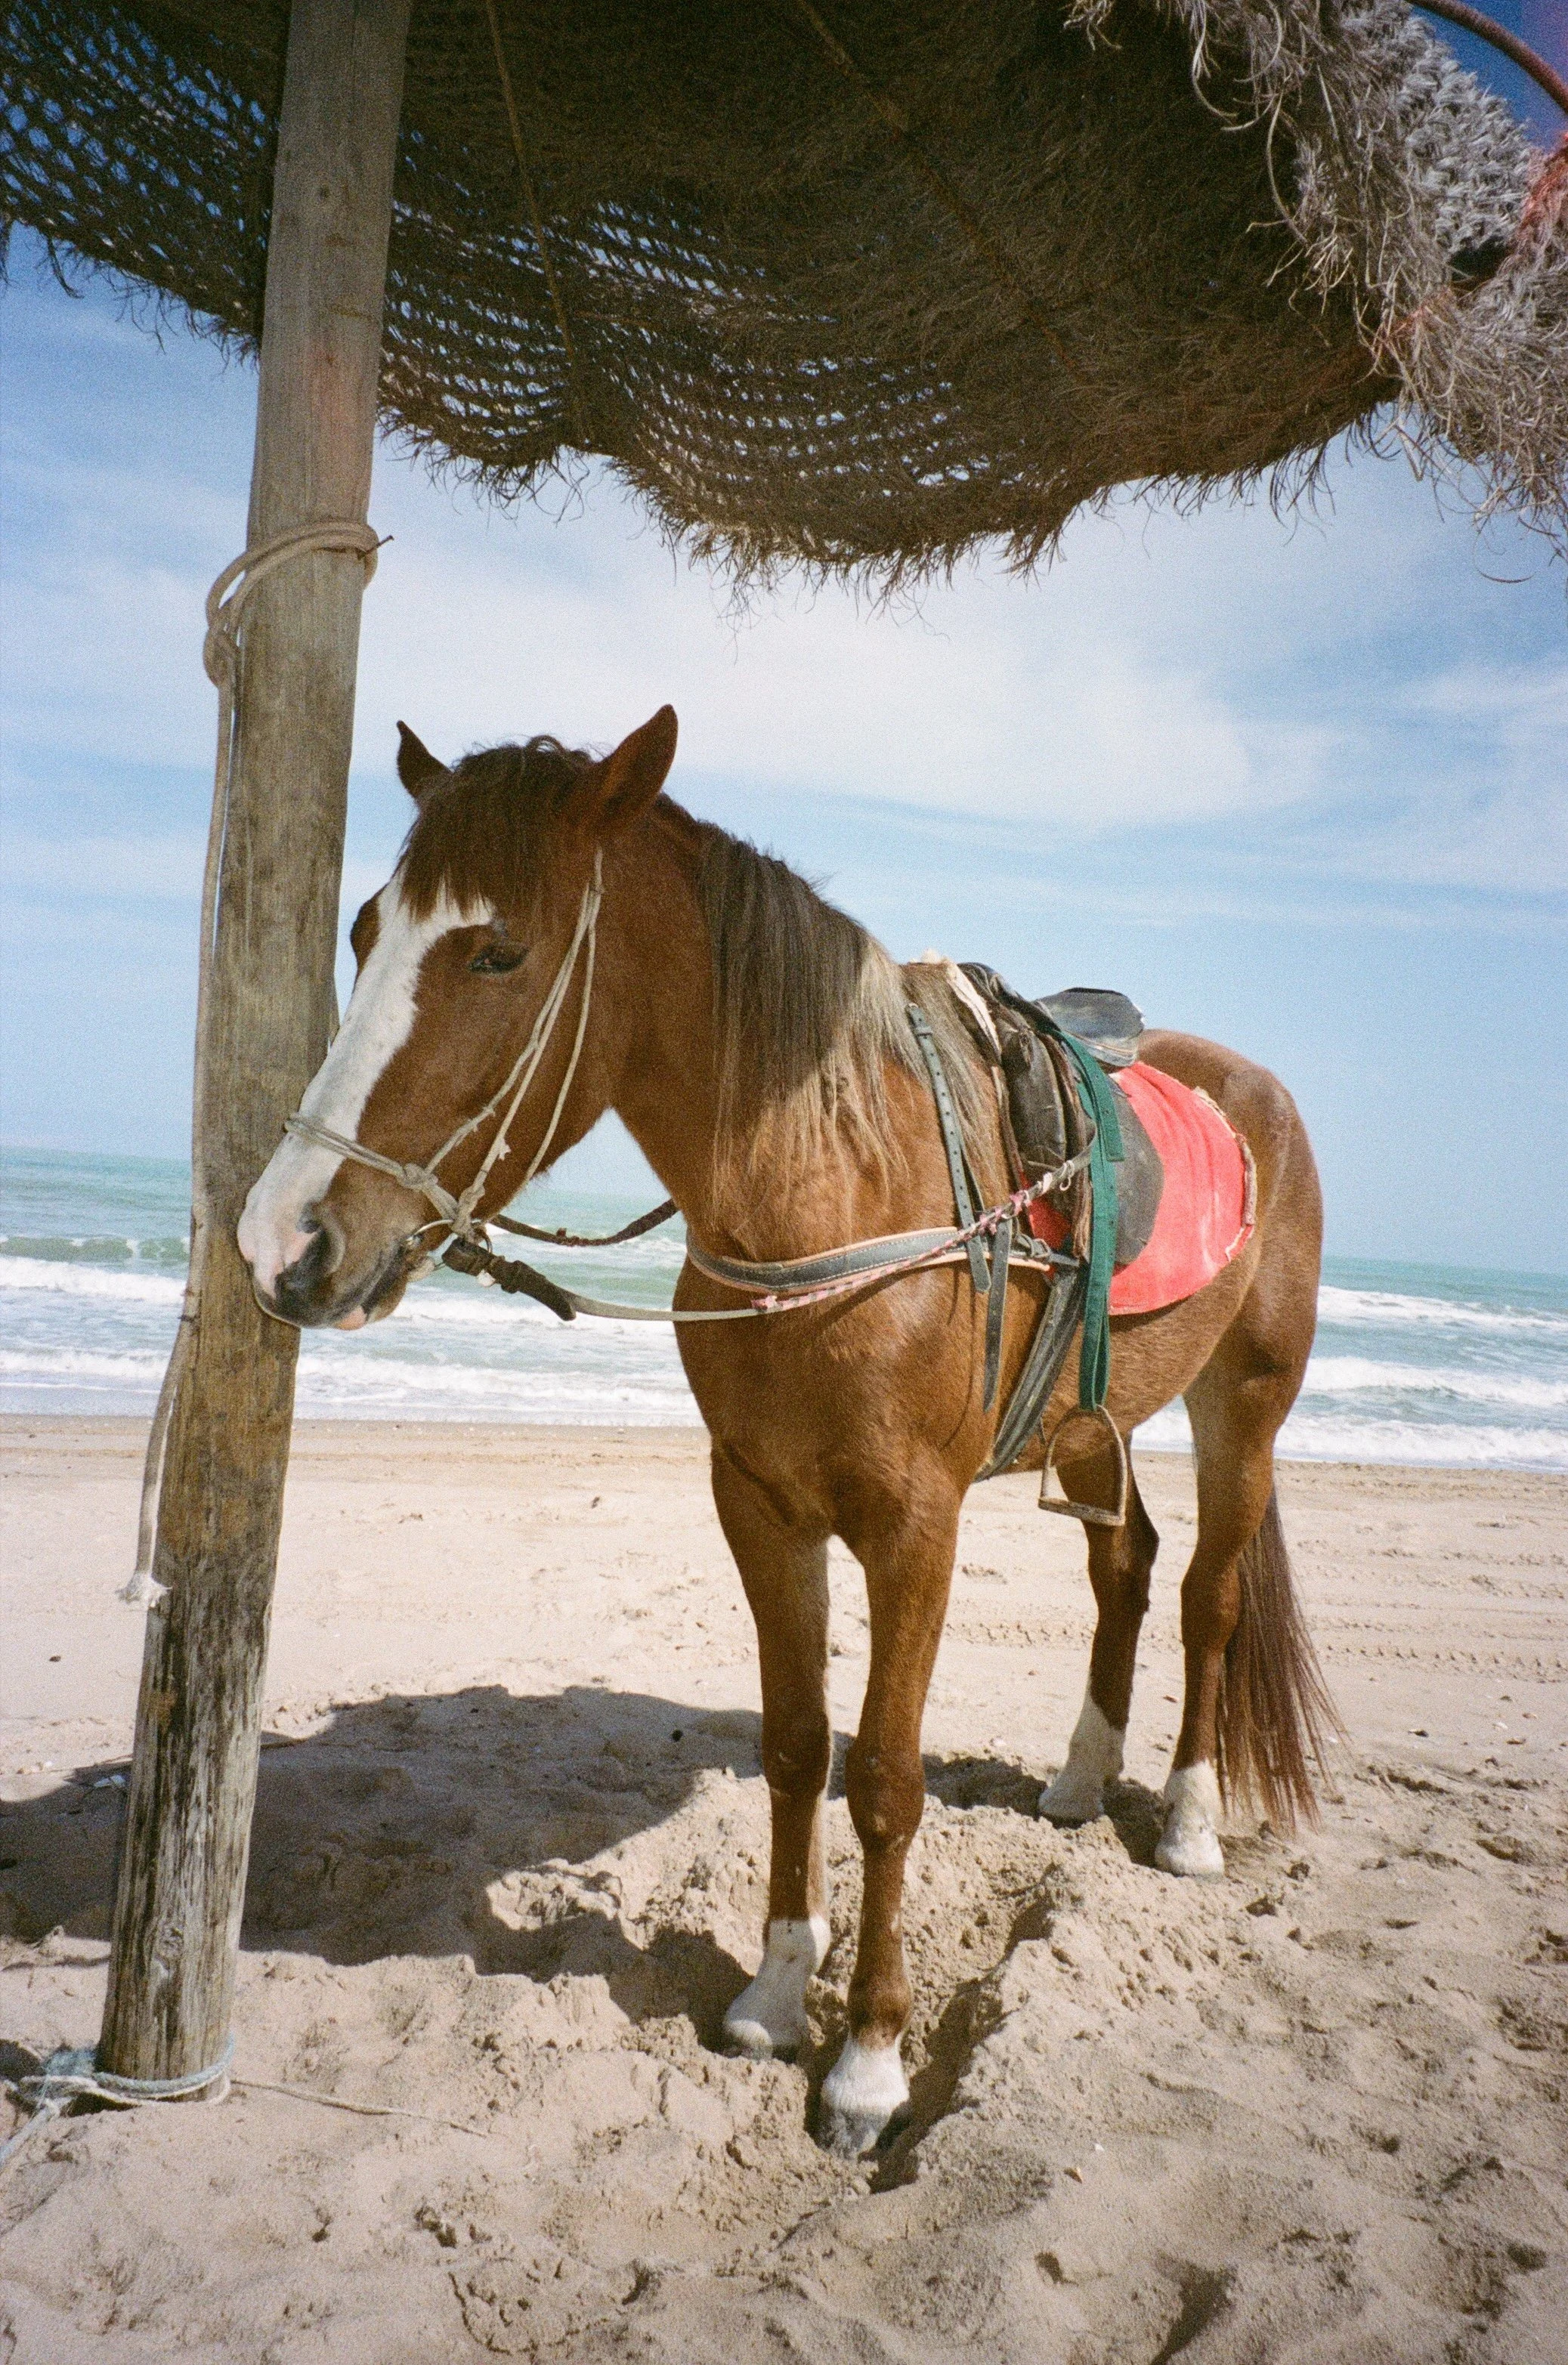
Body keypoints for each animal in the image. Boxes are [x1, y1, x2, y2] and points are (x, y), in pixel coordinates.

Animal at [238, 705, 1337, 2156]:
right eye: (365, 931)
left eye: (498, 951)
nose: (280, 1241)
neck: (835, 1191)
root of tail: (1252, 1087)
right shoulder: (759, 1503)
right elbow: (796, 1747)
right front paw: (771, 1990)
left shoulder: (914, 1529)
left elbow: (883, 1780)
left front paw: (866, 2058)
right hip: (1096, 1422)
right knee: (1127, 1563)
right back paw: (1079, 1780)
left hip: (1244, 1405)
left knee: (1209, 1596)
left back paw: (1190, 1824)